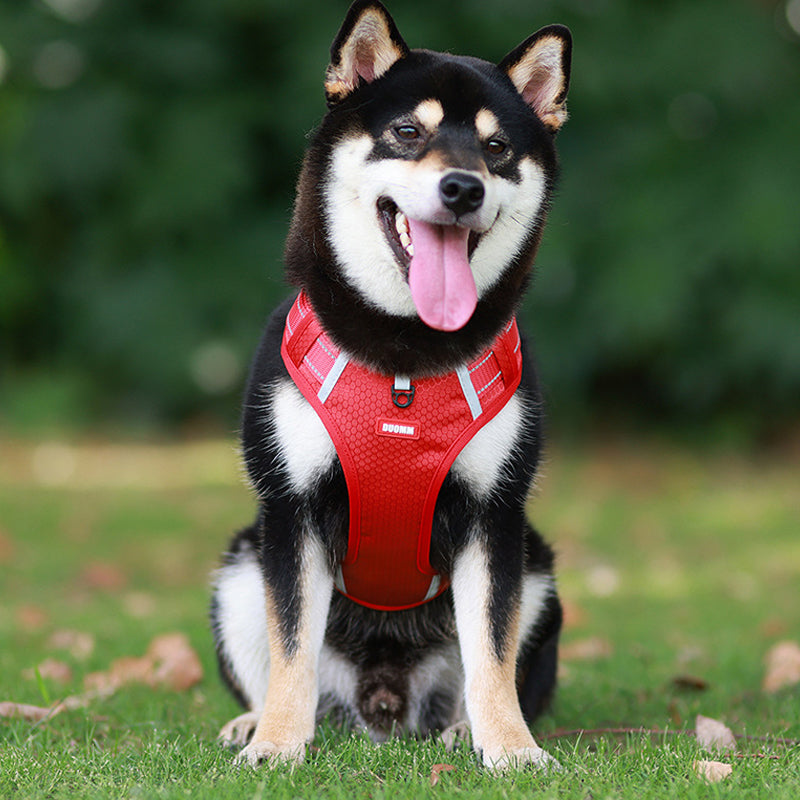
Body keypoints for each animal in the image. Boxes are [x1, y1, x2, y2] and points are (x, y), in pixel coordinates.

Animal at [209, 1, 572, 776]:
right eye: (409, 132)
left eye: (497, 148)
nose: (463, 187)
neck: (406, 353)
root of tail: (383, 704)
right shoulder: (292, 510)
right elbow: (291, 649)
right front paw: (277, 744)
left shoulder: (494, 519)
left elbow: (493, 653)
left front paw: (512, 750)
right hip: (238, 571)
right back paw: (251, 722)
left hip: (539, 571)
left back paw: (464, 730)